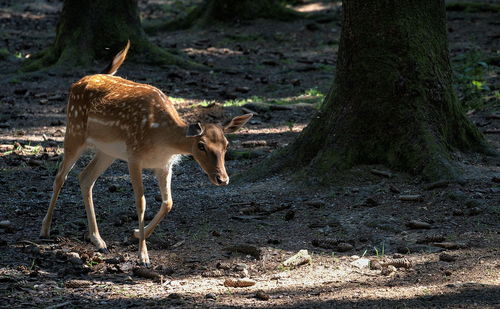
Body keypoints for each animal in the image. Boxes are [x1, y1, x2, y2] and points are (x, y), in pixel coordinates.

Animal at [39, 40, 252, 268]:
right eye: (201, 145)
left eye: (226, 145)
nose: (223, 179)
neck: (163, 140)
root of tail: (79, 81)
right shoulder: (134, 156)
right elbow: (141, 203)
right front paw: (144, 257)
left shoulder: (164, 165)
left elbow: (168, 202)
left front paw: (135, 233)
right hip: (74, 130)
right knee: (60, 176)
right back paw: (45, 230)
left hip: (107, 151)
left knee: (85, 177)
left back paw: (99, 240)